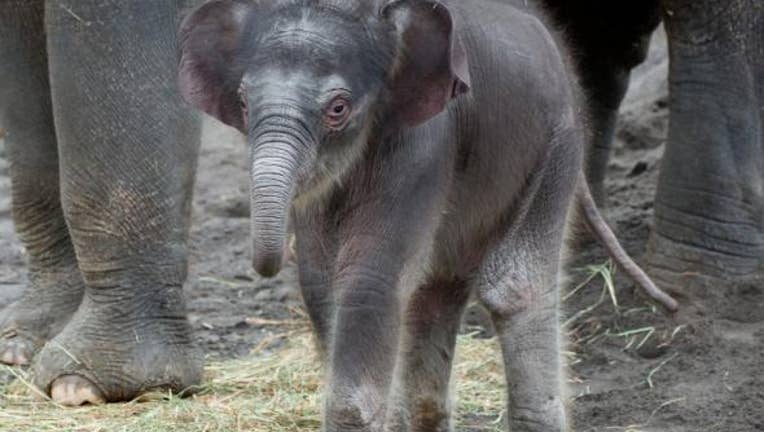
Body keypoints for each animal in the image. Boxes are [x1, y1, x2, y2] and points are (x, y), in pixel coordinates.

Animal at [179, 0, 676, 432]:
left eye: (337, 108)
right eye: (244, 104)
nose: (265, 264)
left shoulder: (426, 143)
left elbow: (369, 281)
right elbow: (321, 284)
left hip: (558, 146)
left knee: (514, 287)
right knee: (432, 294)